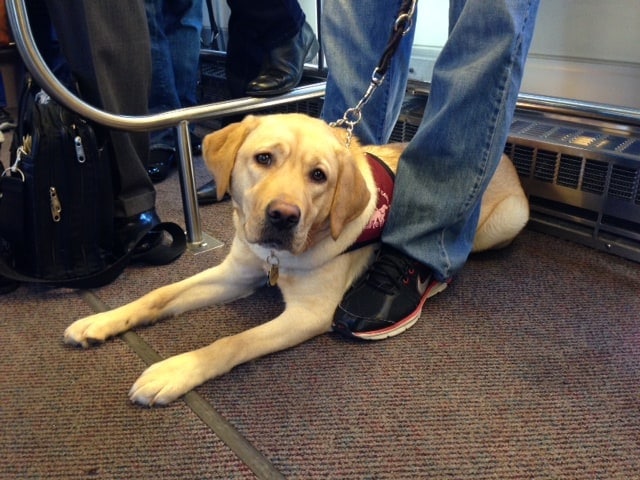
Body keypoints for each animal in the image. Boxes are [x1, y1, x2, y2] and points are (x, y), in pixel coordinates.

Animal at [62, 112, 528, 404]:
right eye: (263, 158)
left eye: (318, 175)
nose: (283, 216)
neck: (280, 259)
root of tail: (505, 155)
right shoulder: (235, 273)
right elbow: (158, 295)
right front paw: (102, 320)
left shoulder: (310, 313)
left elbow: (233, 341)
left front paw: (174, 370)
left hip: (505, 221)